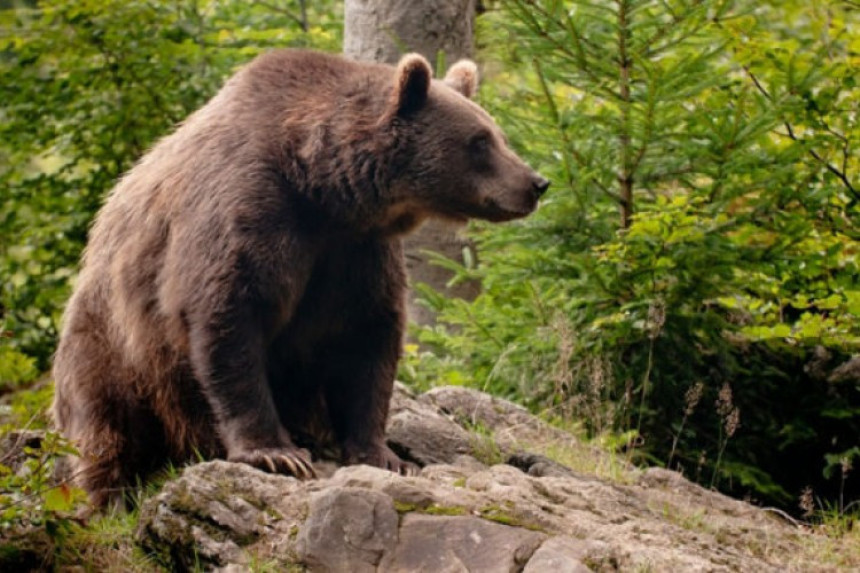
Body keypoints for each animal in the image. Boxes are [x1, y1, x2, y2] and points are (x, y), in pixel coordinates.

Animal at [53, 48, 548, 504]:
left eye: (498, 134)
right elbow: (228, 317)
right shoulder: (251, 211)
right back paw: (109, 496)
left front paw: (383, 454)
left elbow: (367, 340)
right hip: (112, 348)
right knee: (105, 427)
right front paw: (276, 453)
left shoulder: (356, 253)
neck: (323, 189)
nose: (536, 182)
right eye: (480, 141)